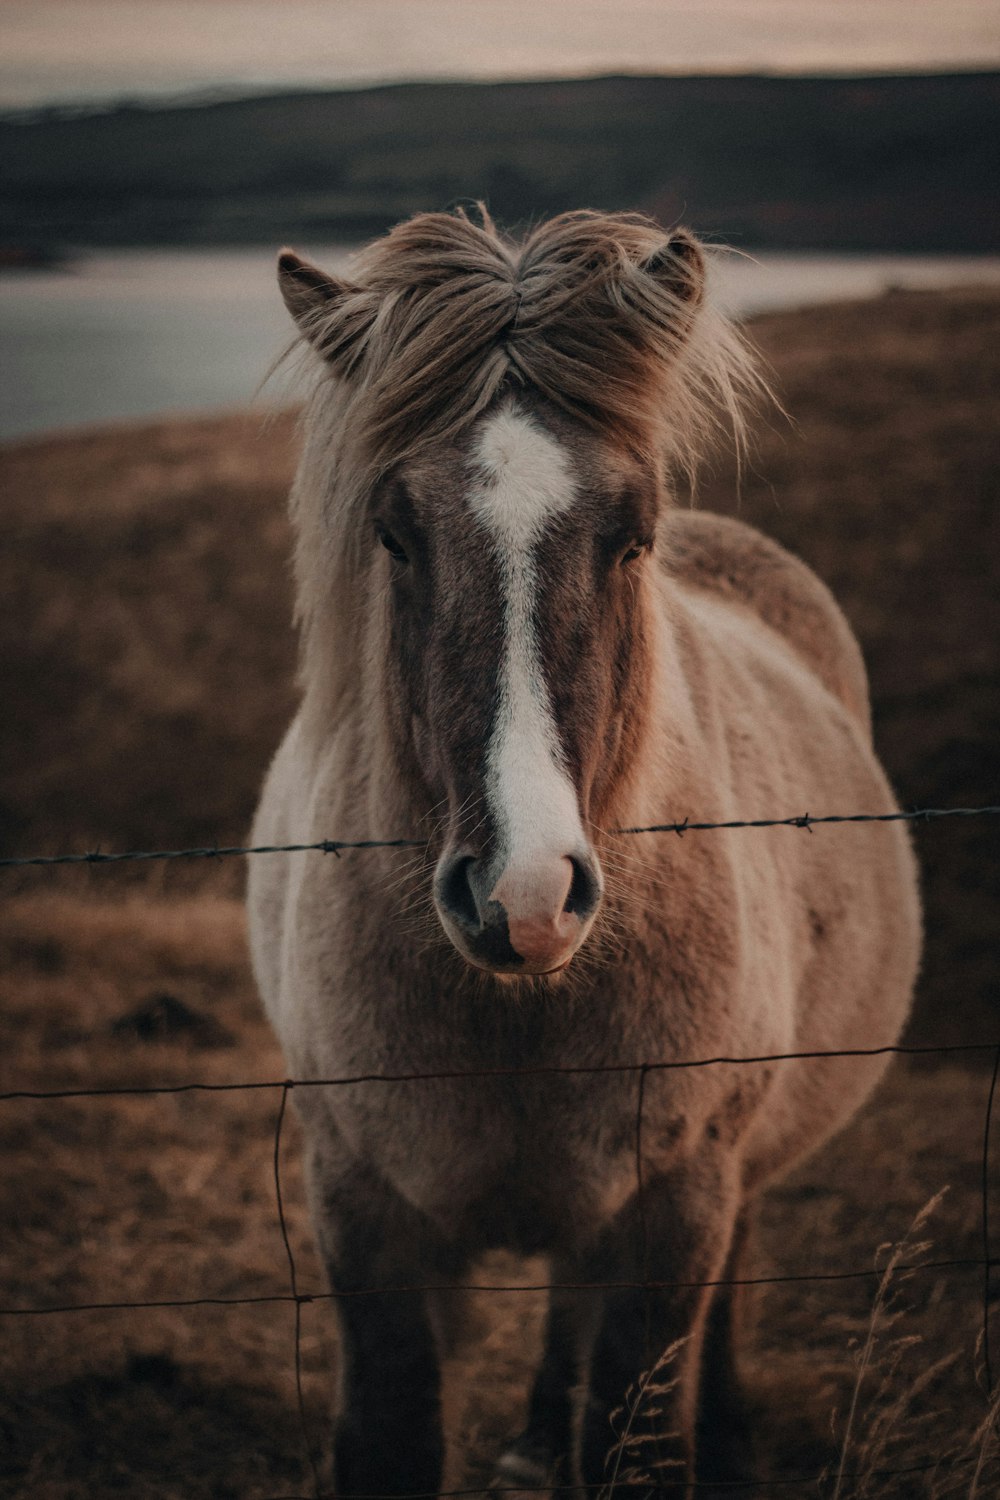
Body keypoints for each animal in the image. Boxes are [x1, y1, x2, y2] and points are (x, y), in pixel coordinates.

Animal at [250, 208, 923, 1488]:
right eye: (393, 535)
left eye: (632, 536)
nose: (521, 896)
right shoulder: (361, 1212)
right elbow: (394, 1435)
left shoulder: (673, 1214)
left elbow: (634, 1435)